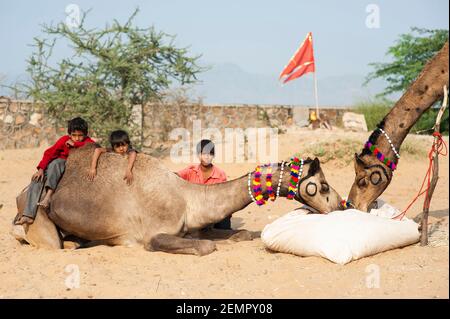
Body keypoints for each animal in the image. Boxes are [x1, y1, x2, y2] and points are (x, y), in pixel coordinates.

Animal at [12, 145, 342, 258]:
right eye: (323, 185)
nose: (340, 205)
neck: (188, 197)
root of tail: (21, 193)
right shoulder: (154, 234)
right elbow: (206, 247)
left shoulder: (194, 227)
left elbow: (241, 234)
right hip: (38, 219)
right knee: (48, 242)